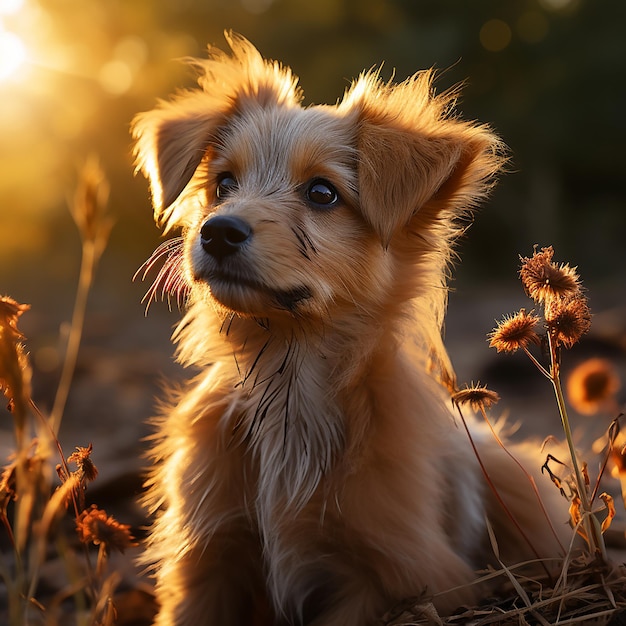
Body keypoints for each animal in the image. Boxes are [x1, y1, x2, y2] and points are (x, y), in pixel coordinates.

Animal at [130, 34, 564, 624]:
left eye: (322, 193)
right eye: (223, 184)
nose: (216, 232)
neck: (288, 376)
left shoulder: (396, 577)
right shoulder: (207, 561)